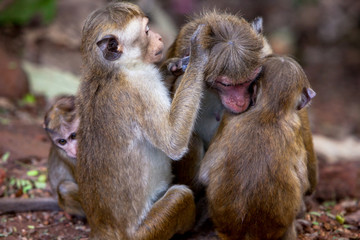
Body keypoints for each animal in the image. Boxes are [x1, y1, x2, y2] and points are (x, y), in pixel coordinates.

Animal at [77, 1, 210, 240]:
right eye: (147, 31)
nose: (159, 37)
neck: (109, 71)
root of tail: (102, 230)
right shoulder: (142, 85)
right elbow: (173, 143)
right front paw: (198, 54)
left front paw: (173, 66)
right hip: (147, 232)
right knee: (179, 195)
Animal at [198, 55, 316, 239]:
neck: (270, 111)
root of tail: (247, 233)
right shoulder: (295, 129)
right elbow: (303, 182)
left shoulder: (229, 118)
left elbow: (204, 174)